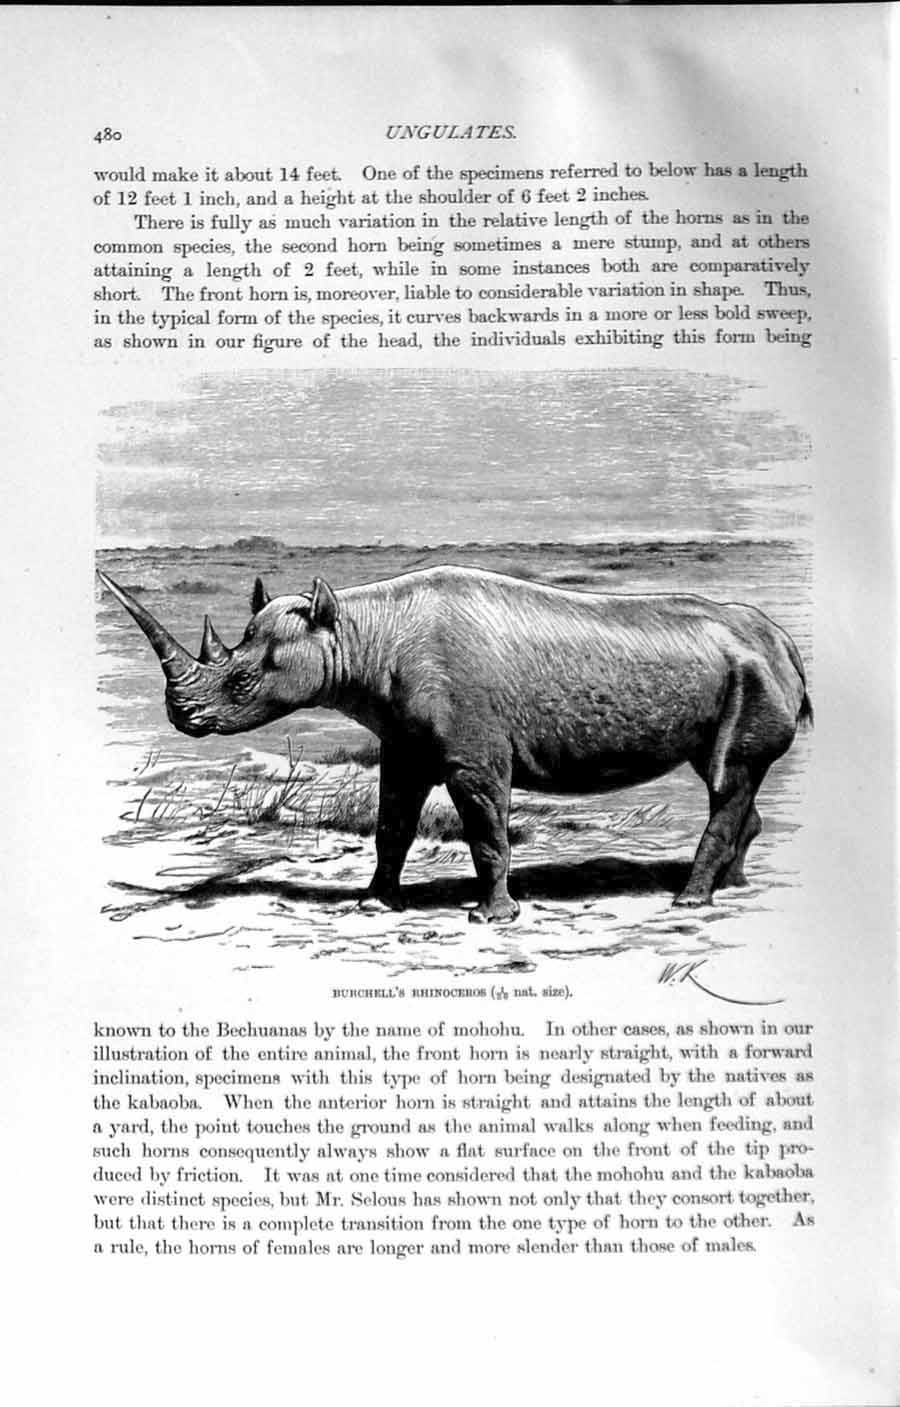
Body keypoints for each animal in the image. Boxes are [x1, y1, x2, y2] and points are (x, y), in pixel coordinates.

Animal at [98, 565, 812, 922]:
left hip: (749, 675)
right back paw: (732, 886)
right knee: (736, 781)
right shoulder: (404, 744)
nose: (182, 716)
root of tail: (783, 642)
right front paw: (373, 904)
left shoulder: (474, 754)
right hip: (743, 671)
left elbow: (485, 829)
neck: (355, 632)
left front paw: (492, 918)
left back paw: (689, 901)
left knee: (727, 777)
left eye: (242, 680)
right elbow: (392, 823)